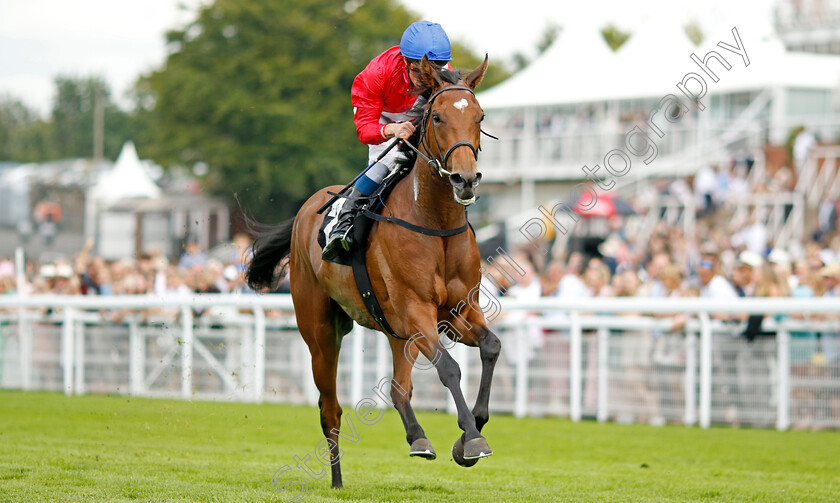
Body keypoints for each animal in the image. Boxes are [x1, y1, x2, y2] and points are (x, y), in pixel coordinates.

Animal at [246, 57, 502, 490]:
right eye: (436, 117)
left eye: (480, 116)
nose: (465, 179)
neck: (434, 223)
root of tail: (306, 208)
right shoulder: (416, 310)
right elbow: (449, 368)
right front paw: (473, 439)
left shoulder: (457, 313)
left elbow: (491, 347)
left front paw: (470, 433)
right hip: (321, 331)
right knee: (330, 409)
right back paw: (336, 480)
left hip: (397, 332)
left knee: (399, 389)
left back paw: (418, 438)